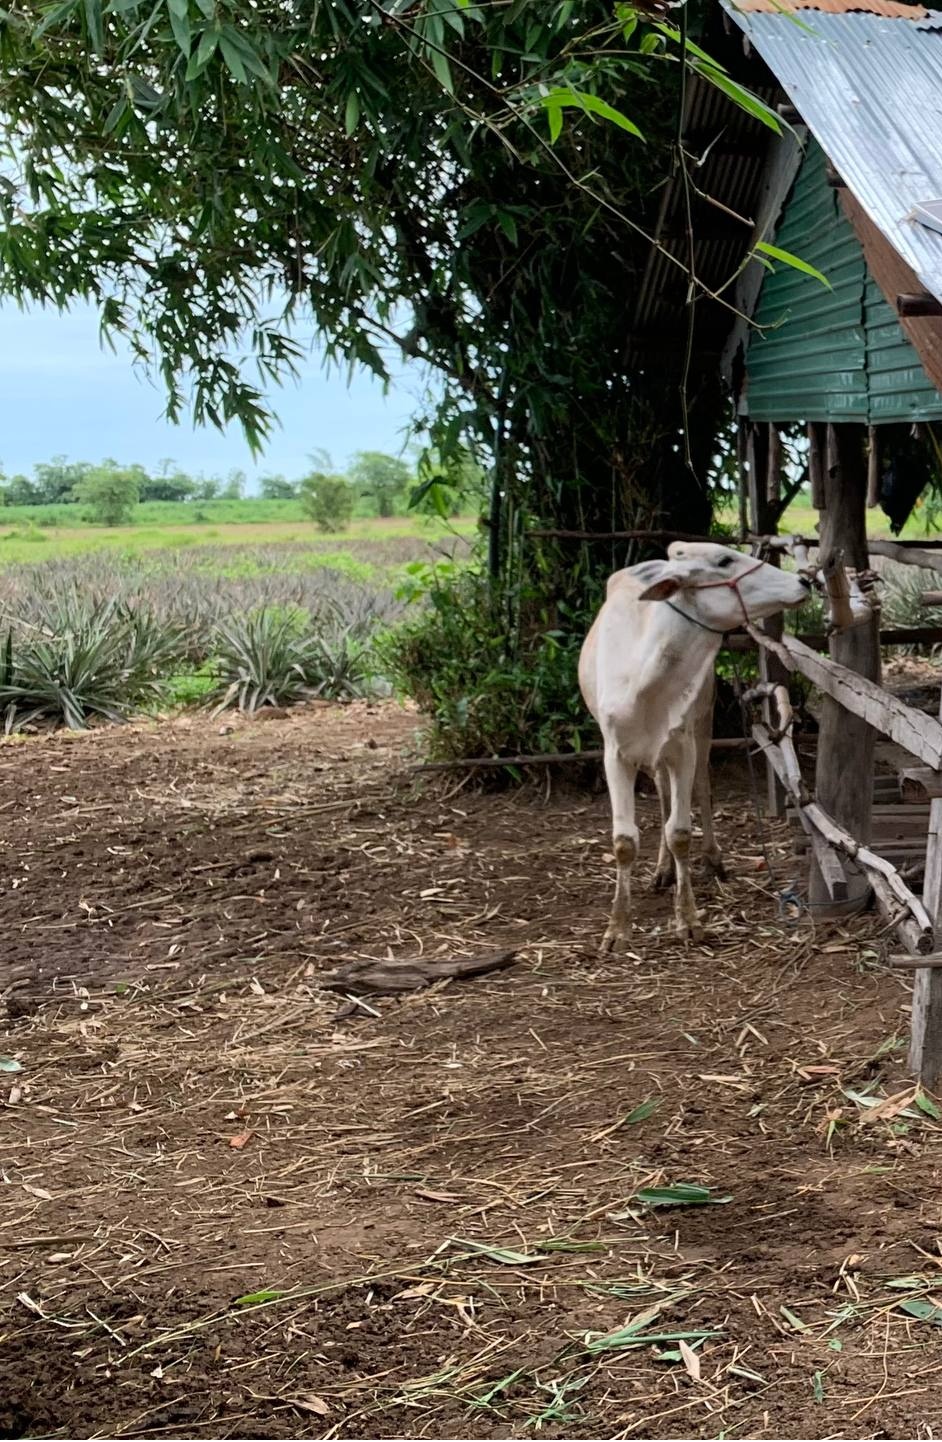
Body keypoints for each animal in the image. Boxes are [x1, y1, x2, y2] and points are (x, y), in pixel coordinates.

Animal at [579, 542, 811, 952]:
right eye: (724, 560)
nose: (803, 581)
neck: (647, 681)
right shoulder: (615, 753)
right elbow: (624, 841)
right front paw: (617, 928)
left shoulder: (682, 746)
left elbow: (681, 833)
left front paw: (687, 920)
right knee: (661, 793)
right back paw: (661, 871)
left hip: (703, 722)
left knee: (701, 785)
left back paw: (712, 859)